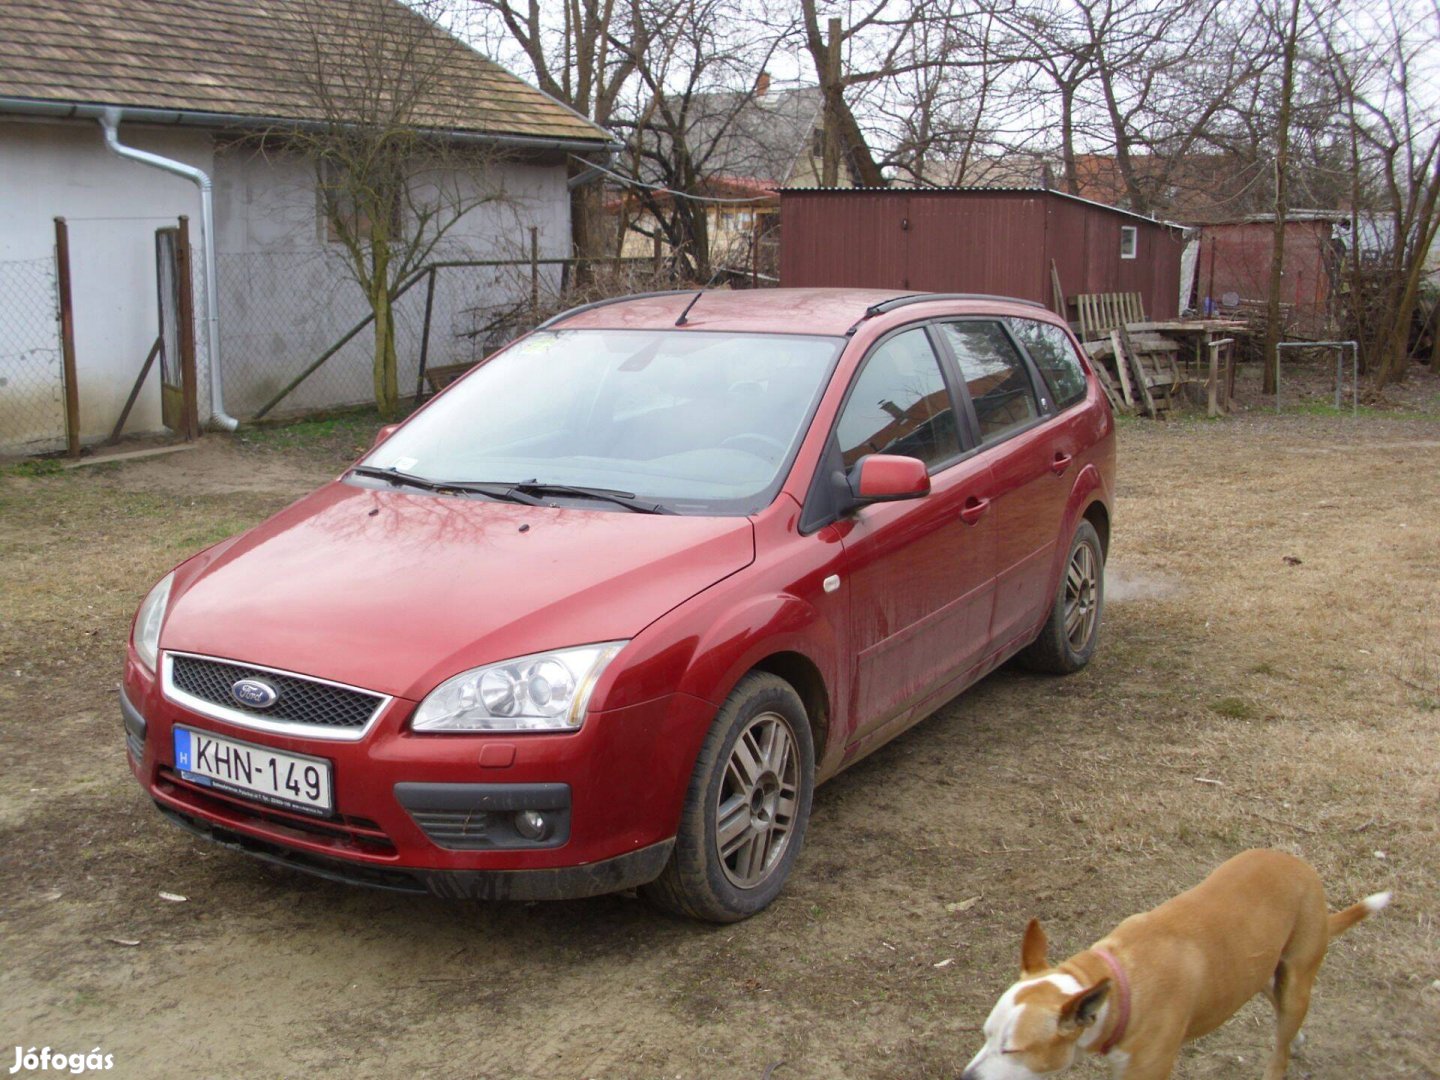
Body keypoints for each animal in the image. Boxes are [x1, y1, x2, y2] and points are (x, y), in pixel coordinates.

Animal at [961, 852, 1388, 1080]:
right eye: (985, 1034)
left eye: (1013, 1049)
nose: (966, 1077)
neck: (1119, 989)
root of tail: (1296, 861)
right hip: (1260, 969)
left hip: (1297, 976)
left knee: (1280, 1047)